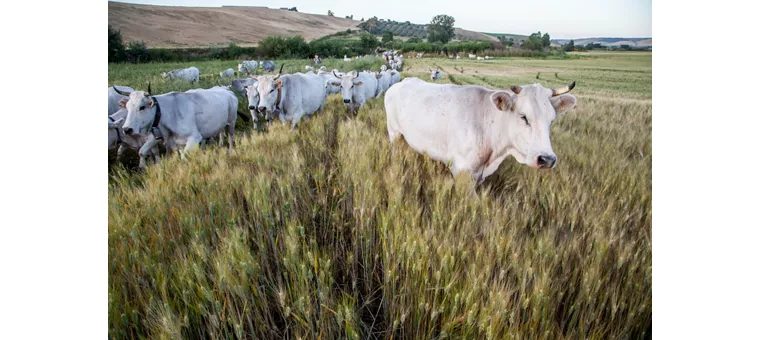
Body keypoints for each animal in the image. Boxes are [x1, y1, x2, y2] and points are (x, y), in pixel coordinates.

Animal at [114, 84, 245, 168]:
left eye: (142, 107)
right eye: (127, 107)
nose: (127, 129)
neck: (167, 113)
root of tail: (228, 91)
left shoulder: (195, 137)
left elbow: (184, 157)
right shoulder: (173, 141)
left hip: (232, 122)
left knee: (231, 137)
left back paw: (231, 151)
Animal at [386, 78, 576, 185]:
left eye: (551, 120)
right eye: (524, 117)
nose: (547, 159)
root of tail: (399, 83)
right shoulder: (462, 171)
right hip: (395, 134)